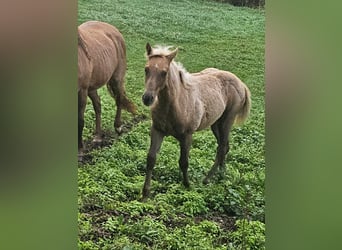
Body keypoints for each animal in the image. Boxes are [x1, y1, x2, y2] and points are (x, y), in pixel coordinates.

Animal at [78, 21, 136, 161]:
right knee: (98, 105)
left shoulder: (81, 91)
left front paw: (80, 151)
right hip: (92, 87)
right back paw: (98, 137)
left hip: (116, 79)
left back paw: (118, 127)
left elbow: (80, 121)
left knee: (119, 99)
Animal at [141, 42, 251, 199]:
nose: (147, 98)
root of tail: (241, 83)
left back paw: (207, 179)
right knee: (224, 147)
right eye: (146, 69)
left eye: (164, 72)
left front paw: (187, 185)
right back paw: (221, 175)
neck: (174, 105)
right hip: (215, 123)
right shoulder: (157, 130)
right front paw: (145, 193)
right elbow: (151, 159)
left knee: (222, 147)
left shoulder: (187, 135)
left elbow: (184, 162)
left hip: (227, 120)